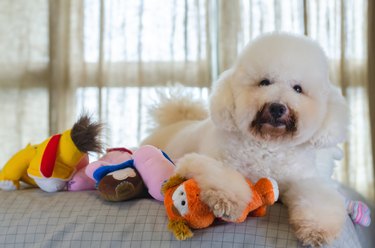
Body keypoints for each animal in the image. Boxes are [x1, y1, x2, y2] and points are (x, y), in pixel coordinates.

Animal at [142, 33, 350, 246]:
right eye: (264, 82)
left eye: (298, 89)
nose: (277, 107)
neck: (268, 146)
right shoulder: (212, 162)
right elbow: (223, 177)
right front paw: (227, 202)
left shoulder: (304, 181)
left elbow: (317, 199)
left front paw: (317, 230)